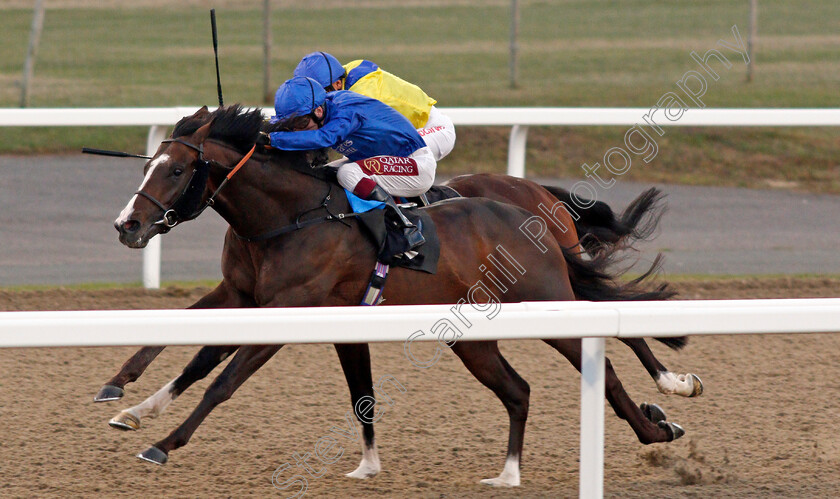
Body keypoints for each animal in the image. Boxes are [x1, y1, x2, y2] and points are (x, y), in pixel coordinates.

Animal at [106, 104, 684, 484]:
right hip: (477, 333)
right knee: (521, 386)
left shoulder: (284, 311)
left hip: (546, 300)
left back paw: (663, 414)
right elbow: (193, 352)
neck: (290, 217)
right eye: (146, 166)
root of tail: (531, 208)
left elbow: (220, 380)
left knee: (605, 355)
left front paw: (162, 443)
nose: (126, 225)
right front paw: (126, 398)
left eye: (176, 169)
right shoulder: (243, 296)